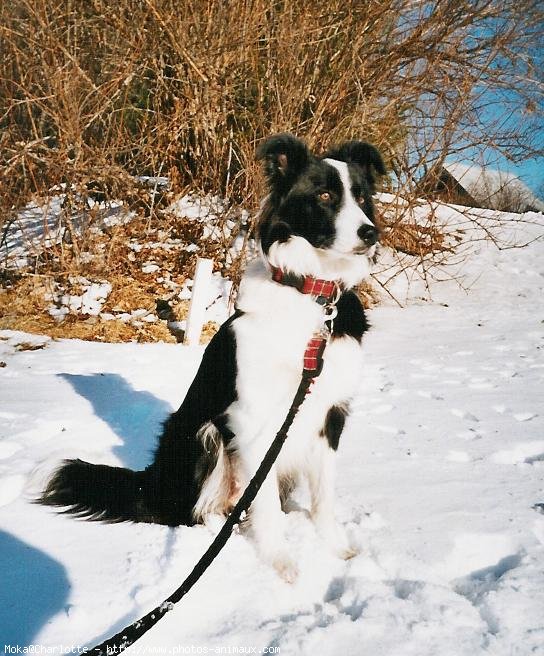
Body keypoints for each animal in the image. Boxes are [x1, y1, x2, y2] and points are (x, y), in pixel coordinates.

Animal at [40, 132, 384, 580]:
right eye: (324, 195)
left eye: (361, 196)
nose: (370, 232)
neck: (313, 294)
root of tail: (151, 485)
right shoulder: (255, 418)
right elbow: (265, 501)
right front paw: (281, 562)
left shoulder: (331, 412)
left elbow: (323, 495)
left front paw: (337, 550)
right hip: (204, 434)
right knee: (200, 512)